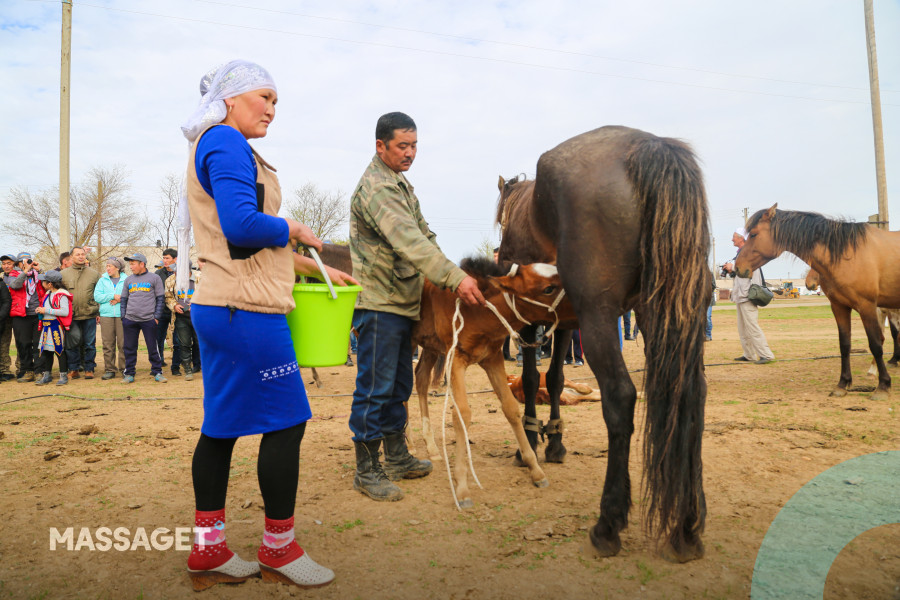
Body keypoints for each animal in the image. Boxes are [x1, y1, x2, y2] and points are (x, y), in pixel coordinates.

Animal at [496, 126, 712, 564]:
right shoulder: (564, 323)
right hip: (664, 313)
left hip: (600, 317)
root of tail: (647, 147)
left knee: (621, 398)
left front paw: (530, 441)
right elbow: (555, 379)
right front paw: (555, 440)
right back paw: (686, 526)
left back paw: (608, 523)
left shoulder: (533, 321)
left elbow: (531, 380)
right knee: (691, 395)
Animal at [736, 204, 900, 400]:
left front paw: (883, 386)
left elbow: (876, 343)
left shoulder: (867, 306)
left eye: (753, 234)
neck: (847, 254)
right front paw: (842, 384)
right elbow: (845, 345)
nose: (737, 267)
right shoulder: (839, 306)